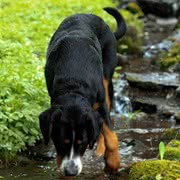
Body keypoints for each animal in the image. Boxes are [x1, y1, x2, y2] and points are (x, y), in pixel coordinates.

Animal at [39, 7, 126, 176]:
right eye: (61, 142)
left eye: (82, 143)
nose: (71, 171)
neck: (73, 84)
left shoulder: (101, 103)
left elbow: (111, 136)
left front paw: (112, 164)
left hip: (107, 77)